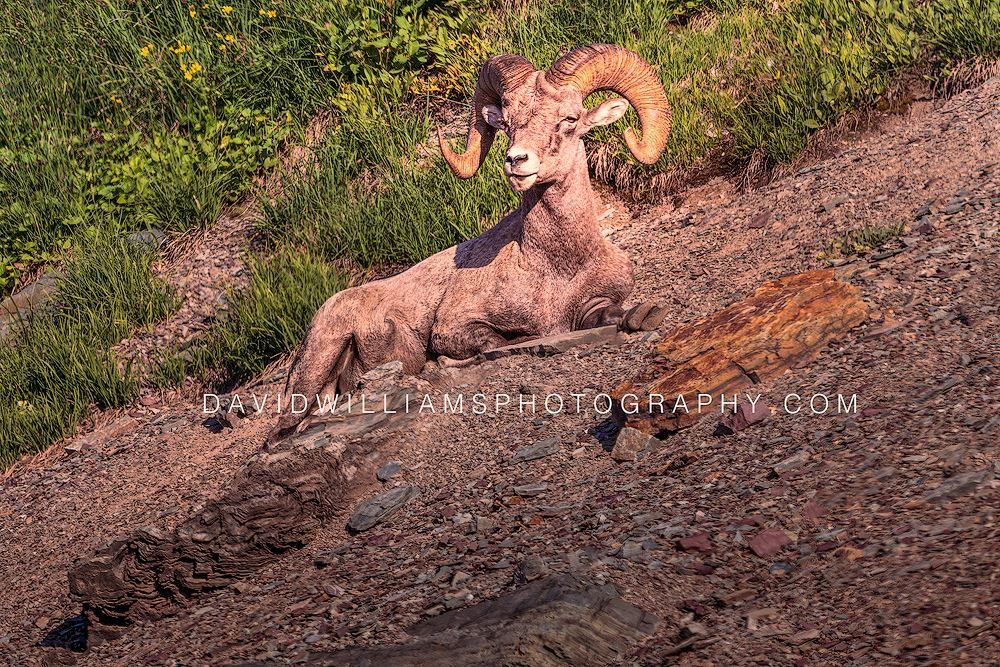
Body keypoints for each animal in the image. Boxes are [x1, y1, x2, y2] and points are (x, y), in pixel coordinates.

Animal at [267, 44, 672, 445]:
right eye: (508, 123)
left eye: (570, 119)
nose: (516, 161)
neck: (555, 265)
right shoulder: (455, 326)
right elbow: (494, 342)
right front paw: (445, 362)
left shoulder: (596, 303)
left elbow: (611, 314)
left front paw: (639, 316)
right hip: (318, 362)